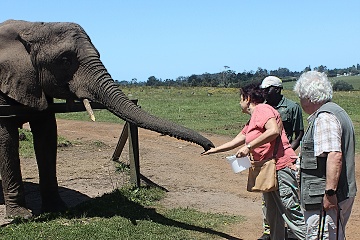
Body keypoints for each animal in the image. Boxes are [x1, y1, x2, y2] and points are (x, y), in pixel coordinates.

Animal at [0, 20, 214, 219]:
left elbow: (47, 136)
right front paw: (21, 216)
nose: (208, 148)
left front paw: (57, 209)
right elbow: (7, 139)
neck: (31, 26)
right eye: (65, 60)